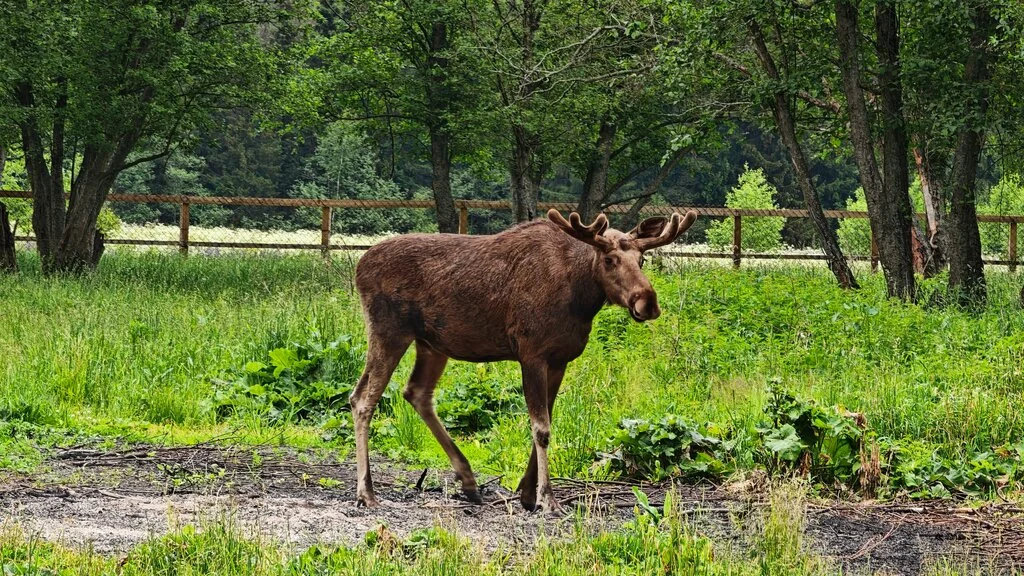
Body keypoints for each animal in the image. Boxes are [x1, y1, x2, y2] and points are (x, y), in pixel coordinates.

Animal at [350, 208, 698, 511]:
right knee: (364, 400)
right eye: (610, 260)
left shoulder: (559, 359)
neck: (581, 300)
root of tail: (359, 266)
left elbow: (546, 421)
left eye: (642, 259)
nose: (647, 302)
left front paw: (528, 494)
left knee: (414, 393)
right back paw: (366, 492)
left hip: (431, 344)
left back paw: (468, 480)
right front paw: (547, 498)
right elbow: (541, 428)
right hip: (389, 331)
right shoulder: (532, 353)